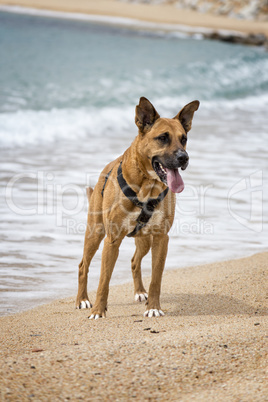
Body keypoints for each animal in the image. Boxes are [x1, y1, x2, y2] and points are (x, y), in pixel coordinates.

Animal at [75, 96, 199, 318]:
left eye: (183, 138)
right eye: (163, 138)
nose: (184, 157)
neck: (147, 185)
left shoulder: (161, 238)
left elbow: (156, 278)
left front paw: (153, 307)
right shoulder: (111, 240)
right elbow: (104, 281)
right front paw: (98, 311)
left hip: (144, 240)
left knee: (135, 261)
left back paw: (141, 292)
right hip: (95, 233)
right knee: (83, 266)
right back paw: (82, 300)